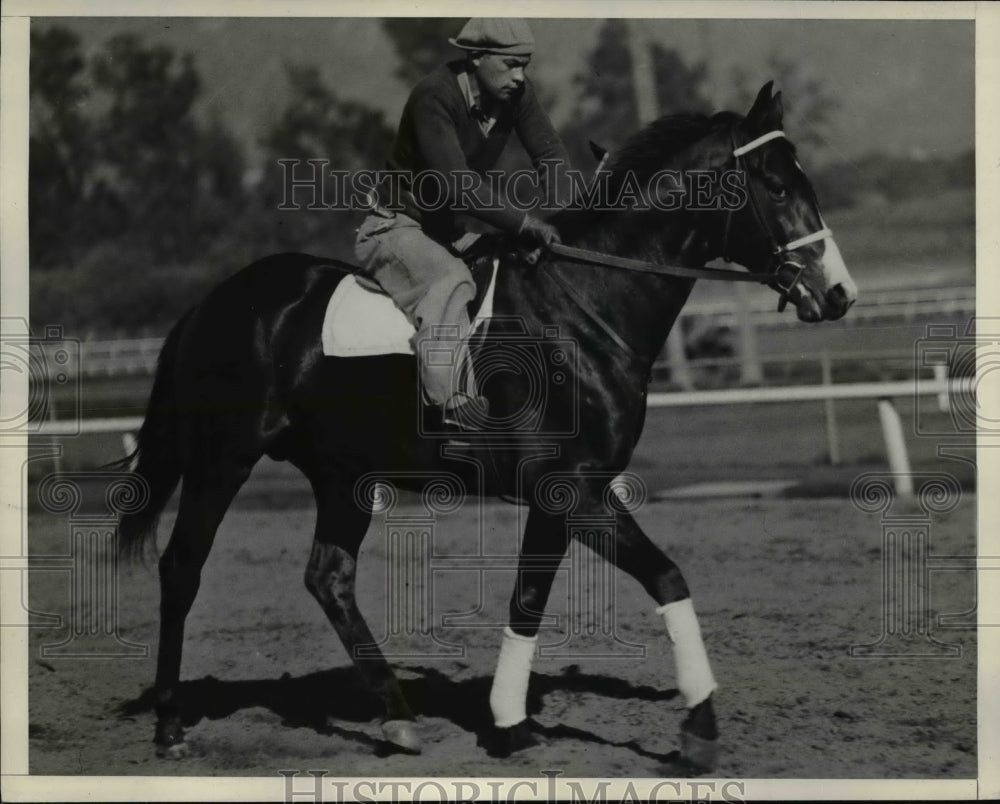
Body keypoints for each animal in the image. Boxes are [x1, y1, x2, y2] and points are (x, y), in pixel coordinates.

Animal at [119, 81, 860, 772]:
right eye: (776, 184)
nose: (839, 293)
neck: (584, 310)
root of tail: (212, 303)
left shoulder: (586, 490)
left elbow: (636, 583)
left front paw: (680, 722)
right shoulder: (567, 491)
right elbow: (557, 594)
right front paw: (522, 722)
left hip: (343, 475)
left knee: (328, 577)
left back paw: (398, 718)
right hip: (222, 461)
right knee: (183, 567)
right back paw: (171, 724)